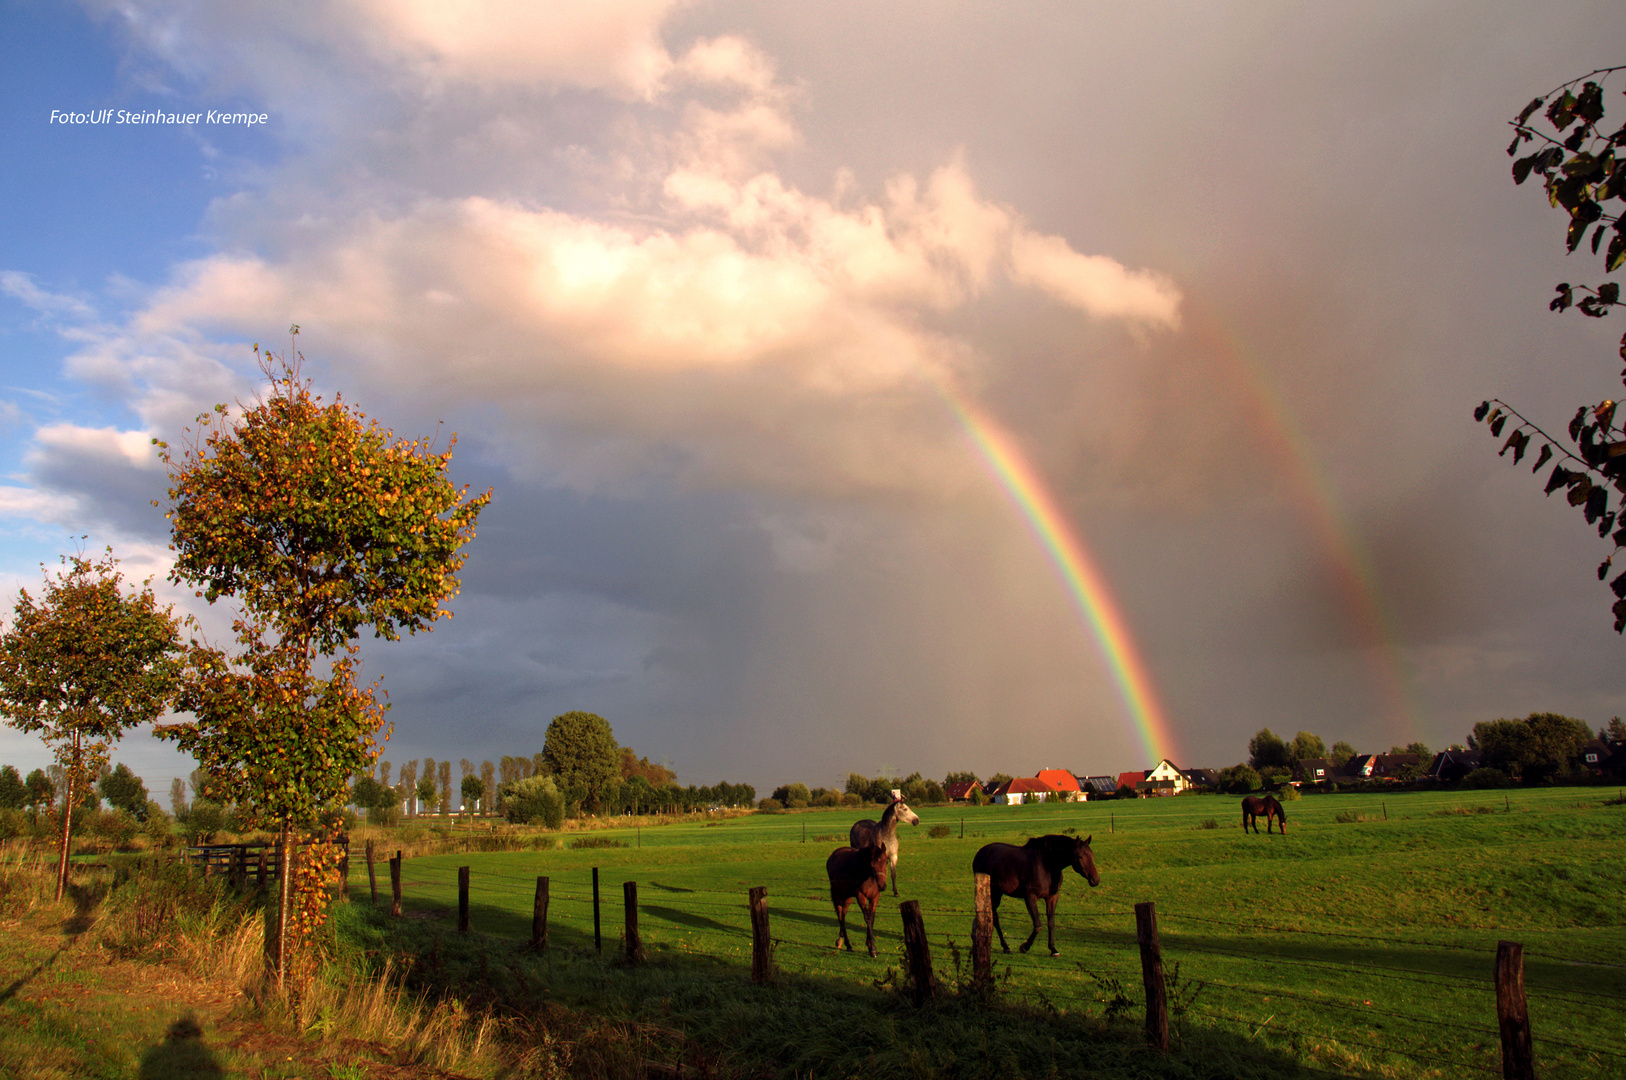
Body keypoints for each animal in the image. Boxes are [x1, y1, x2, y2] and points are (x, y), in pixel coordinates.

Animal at [969, 832, 1099, 956]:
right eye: (1080, 856)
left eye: (1092, 856)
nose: (1095, 880)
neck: (1047, 865)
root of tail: (980, 854)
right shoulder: (1030, 897)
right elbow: (1038, 924)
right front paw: (1024, 947)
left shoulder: (1052, 898)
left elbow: (1051, 923)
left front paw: (1053, 949)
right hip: (994, 892)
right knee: (995, 918)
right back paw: (1005, 947)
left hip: (997, 893)